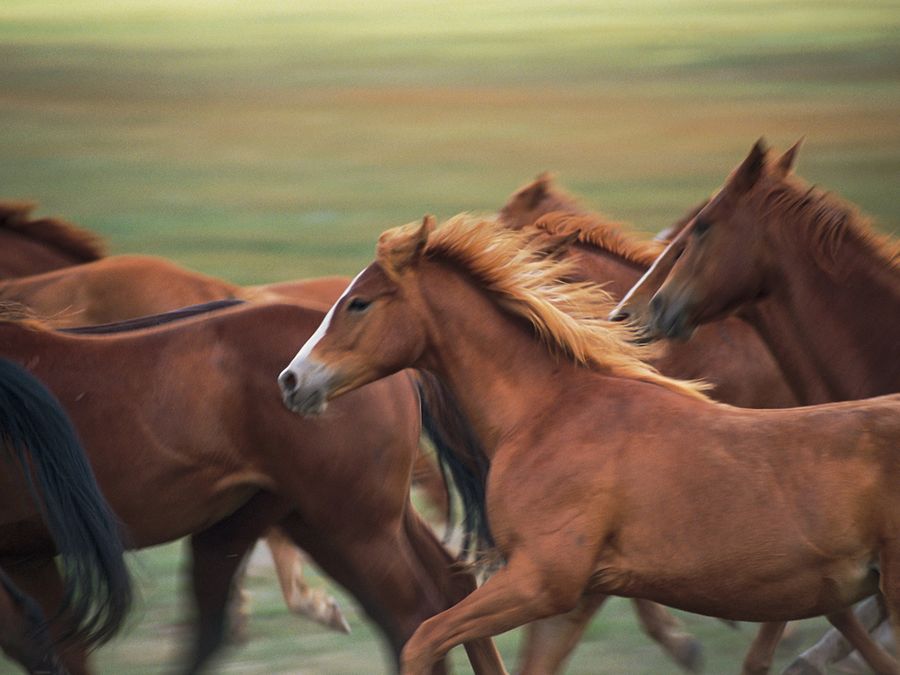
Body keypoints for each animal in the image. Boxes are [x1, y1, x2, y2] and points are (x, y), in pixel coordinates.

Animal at [278, 214, 900, 675]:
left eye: (359, 303)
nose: (291, 380)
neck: (548, 412)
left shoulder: (542, 581)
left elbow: (423, 638)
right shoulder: (569, 599)